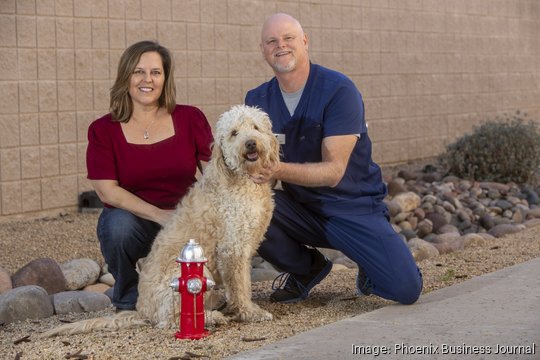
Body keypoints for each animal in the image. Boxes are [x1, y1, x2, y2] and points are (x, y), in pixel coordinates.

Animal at [42, 105, 278, 338]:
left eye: (255, 127)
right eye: (234, 133)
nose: (250, 143)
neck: (242, 178)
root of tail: (142, 311)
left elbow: (244, 282)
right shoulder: (232, 248)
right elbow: (239, 286)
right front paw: (249, 312)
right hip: (185, 277)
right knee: (169, 320)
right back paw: (211, 318)